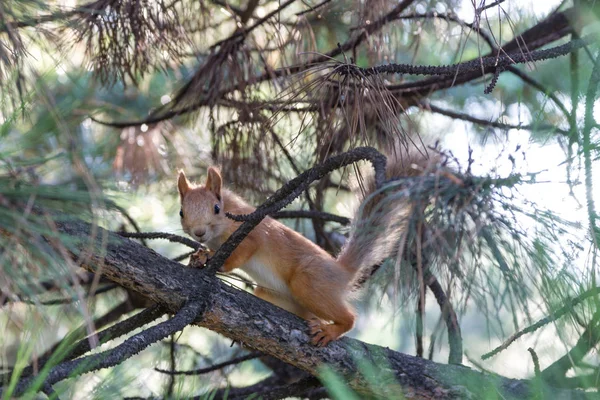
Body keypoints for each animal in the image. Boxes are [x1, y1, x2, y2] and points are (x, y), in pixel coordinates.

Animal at [178, 152, 432, 346]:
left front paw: (215, 260)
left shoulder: (251, 236)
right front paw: (199, 257)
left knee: (349, 317)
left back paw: (331, 330)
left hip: (309, 281)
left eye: (216, 208)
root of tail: (342, 272)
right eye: (182, 212)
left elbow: (239, 255)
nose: (199, 233)